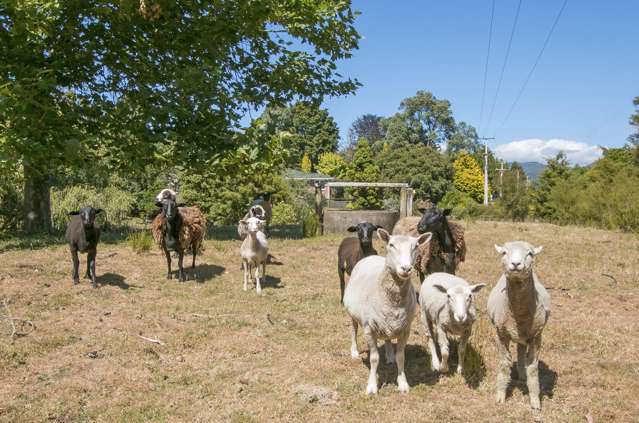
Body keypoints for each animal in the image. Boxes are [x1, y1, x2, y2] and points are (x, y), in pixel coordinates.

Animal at [344, 229, 436, 394]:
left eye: (416, 246)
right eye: (391, 245)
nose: (406, 269)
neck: (393, 301)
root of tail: (370, 256)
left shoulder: (405, 329)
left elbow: (401, 357)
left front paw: (403, 383)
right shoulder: (369, 329)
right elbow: (374, 358)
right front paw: (372, 386)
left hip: (387, 321)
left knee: (387, 337)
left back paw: (389, 356)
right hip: (353, 313)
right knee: (353, 329)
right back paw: (354, 351)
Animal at [490, 242, 552, 410]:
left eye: (530, 253)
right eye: (504, 252)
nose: (516, 264)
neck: (519, 314)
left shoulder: (536, 336)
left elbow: (532, 368)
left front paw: (535, 401)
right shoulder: (500, 334)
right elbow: (504, 364)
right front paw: (500, 396)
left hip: (526, 335)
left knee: (521, 351)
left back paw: (523, 375)